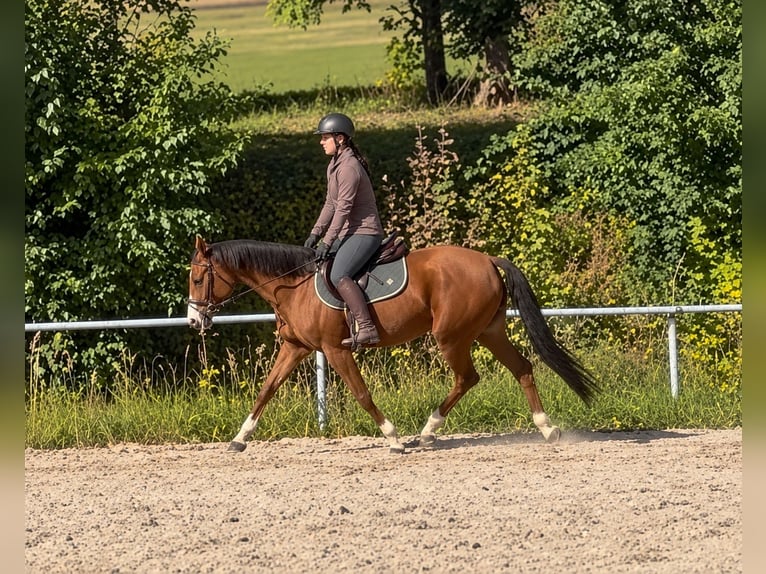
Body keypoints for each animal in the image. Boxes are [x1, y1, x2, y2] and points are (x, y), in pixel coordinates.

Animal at [187, 236, 598, 453]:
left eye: (196, 278)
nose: (193, 321)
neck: (295, 286)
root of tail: (486, 259)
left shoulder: (336, 350)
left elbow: (362, 394)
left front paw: (393, 436)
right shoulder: (296, 348)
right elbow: (266, 390)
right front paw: (240, 438)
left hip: (452, 337)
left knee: (468, 378)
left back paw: (427, 431)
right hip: (488, 331)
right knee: (522, 368)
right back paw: (546, 428)